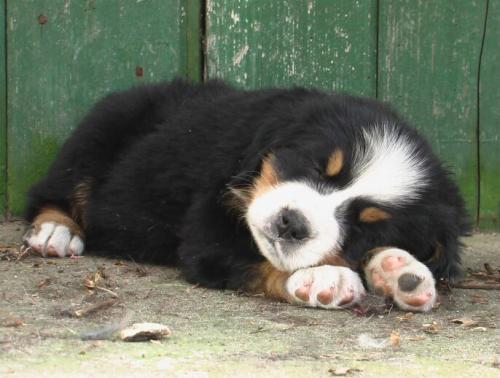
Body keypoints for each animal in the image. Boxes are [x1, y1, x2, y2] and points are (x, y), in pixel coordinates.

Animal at [22, 78, 468, 312]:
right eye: (316, 166)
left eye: (365, 227)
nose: (292, 223)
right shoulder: (209, 225)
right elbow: (258, 258)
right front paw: (322, 277)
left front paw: (399, 271)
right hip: (96, 137)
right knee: (50, 192)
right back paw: (55, 232)